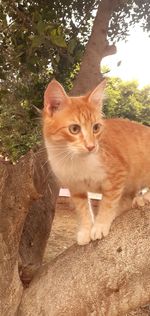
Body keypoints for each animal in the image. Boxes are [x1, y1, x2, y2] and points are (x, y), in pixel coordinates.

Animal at [42, 79, 150, 244]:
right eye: (74, 129)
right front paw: (86, 230)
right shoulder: (75, 186)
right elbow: (83, 209)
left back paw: (144, 197)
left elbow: (108, 203)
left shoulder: (117, 174)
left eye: (96, 127)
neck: (74, 159)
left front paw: (100, 225)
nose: (91, 146)